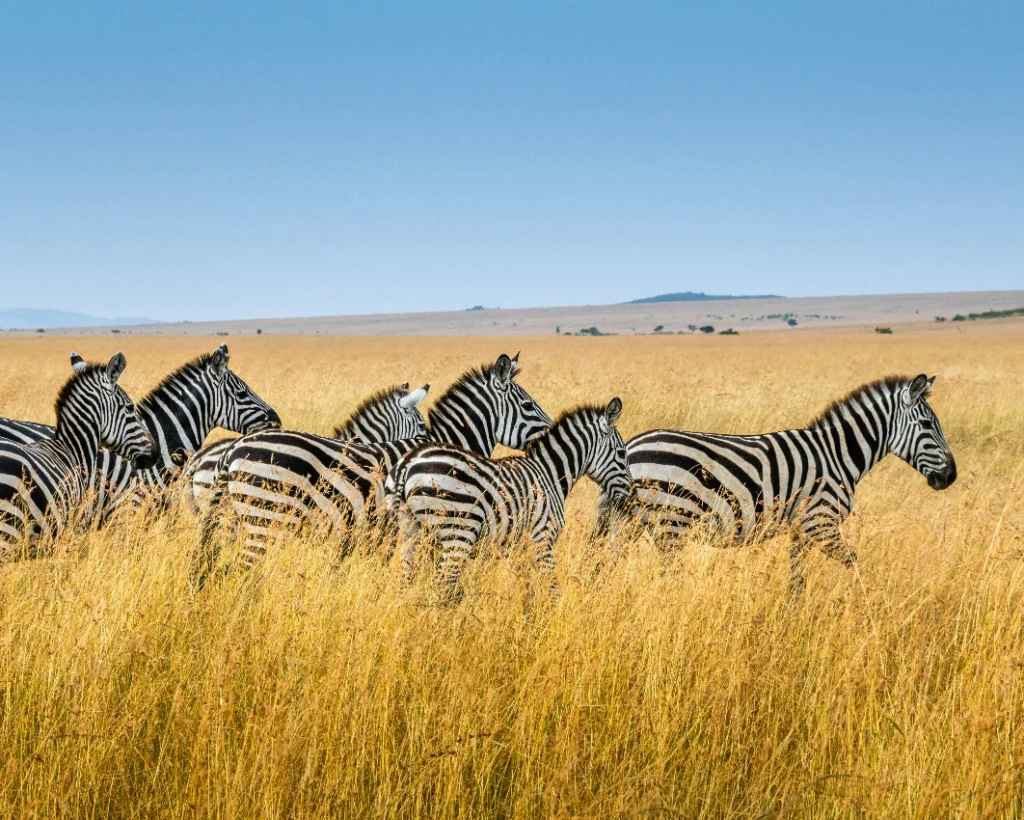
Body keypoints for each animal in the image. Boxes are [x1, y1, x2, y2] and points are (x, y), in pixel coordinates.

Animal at [387, 398, 630, 600]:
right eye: (621, 453)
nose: (629, 496)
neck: (550, 475)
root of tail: (408, 462)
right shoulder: (543, 538)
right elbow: (551, 588)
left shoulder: (521, 547)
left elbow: (528, 589)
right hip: (458, 532)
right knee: (441, 585)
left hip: (410, 528)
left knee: (405, 580)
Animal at [602, 374, 957, 594]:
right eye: (927, 425)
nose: (951, 476)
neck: (838, 454)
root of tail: (630, 446)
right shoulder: (821, 522)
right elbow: (854, 564)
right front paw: (864, 608)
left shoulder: (802, 529)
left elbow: (797, 581)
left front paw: (791, 618)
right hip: (672, 522)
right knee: (666, 578)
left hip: (629, 522)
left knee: (605, 566)